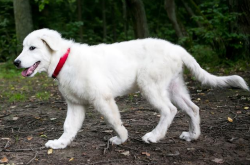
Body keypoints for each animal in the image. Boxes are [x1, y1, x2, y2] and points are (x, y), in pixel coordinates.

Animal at [14, 28, 248, 150]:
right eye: (24, 47)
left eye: (32, 48)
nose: (16, 63)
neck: (64, 60)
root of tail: (178, 49)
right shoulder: (75, 104)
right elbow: (69, 126)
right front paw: (60, 143)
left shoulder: (102, 99)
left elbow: (114, 121)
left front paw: (121, 138)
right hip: (174, 87)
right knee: (193, 108)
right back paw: (193, 136)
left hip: (150, 85)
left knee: (169, 110)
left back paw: (154, 136)